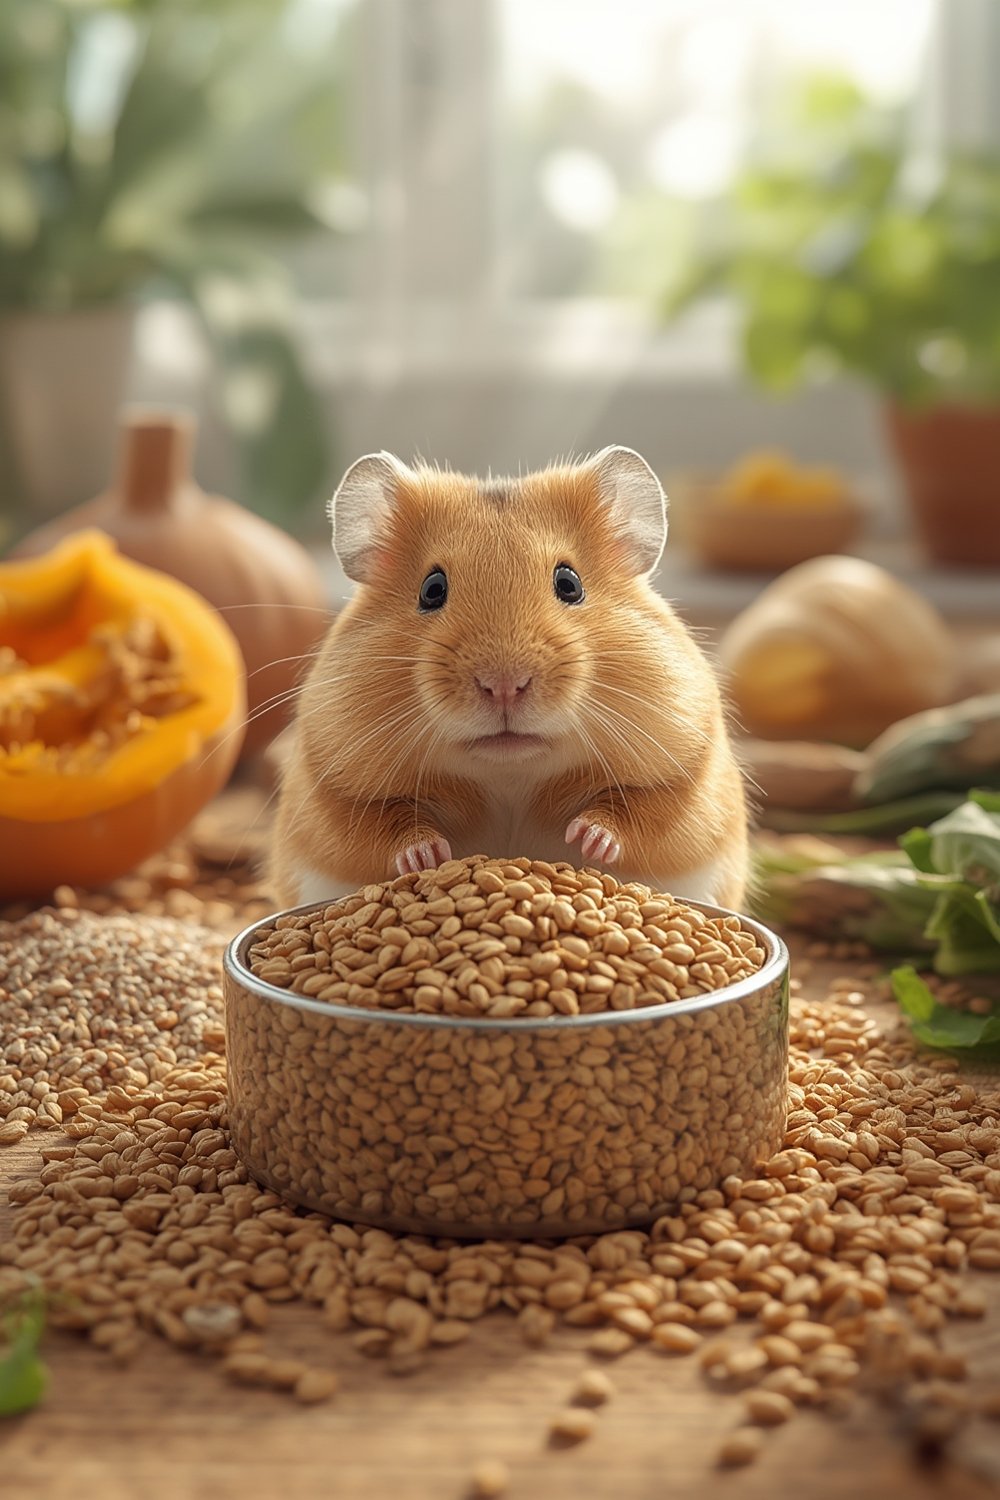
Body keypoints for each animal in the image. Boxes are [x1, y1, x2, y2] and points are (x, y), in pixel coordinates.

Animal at [270, 447, 749, 910]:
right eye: (432, 589)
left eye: (569, 583)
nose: (504, 686)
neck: (509, 772)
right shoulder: (333, 787)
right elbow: (387, 824)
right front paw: (429, 856)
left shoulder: (686, 770)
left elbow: (635, 809)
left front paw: (587, 839)